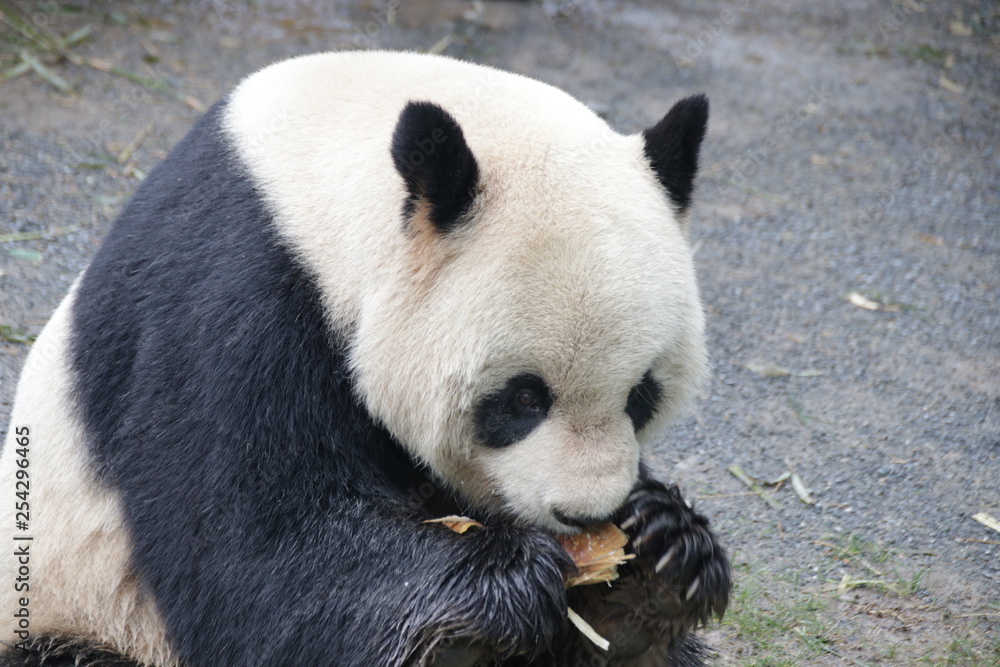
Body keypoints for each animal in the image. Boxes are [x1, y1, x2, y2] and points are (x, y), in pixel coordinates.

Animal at [0, 51, 729, 666]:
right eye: (524, 398)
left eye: (642, 395)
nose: (582, 514)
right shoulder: (236, 301)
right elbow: (253, 560)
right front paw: (501, 584)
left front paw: (661, 552)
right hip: (79, 602)